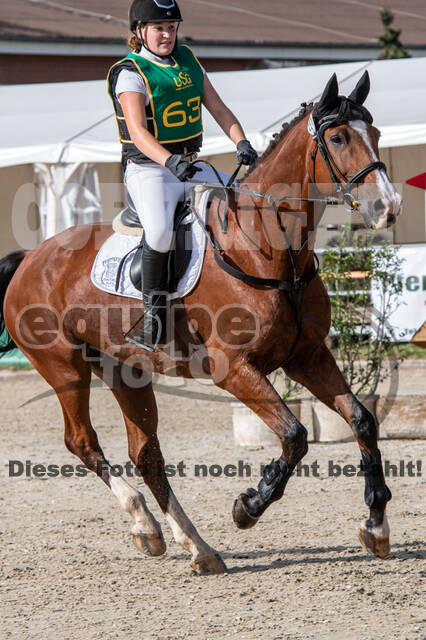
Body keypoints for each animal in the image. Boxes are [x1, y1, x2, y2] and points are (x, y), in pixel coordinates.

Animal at [0, 72, 401, 575]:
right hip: (65, 369)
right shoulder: (236, 369)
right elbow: (294, 436)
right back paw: (145, 524)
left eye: (378, 134)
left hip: (124, 371)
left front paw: (376, 524)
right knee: (83, 442)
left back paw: (195, 546)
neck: (269, 251)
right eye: (338, 138)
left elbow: (362, 420)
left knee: (146, 453)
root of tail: (30, 258)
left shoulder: (306, 356)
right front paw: (249, 505)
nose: (388, 207)